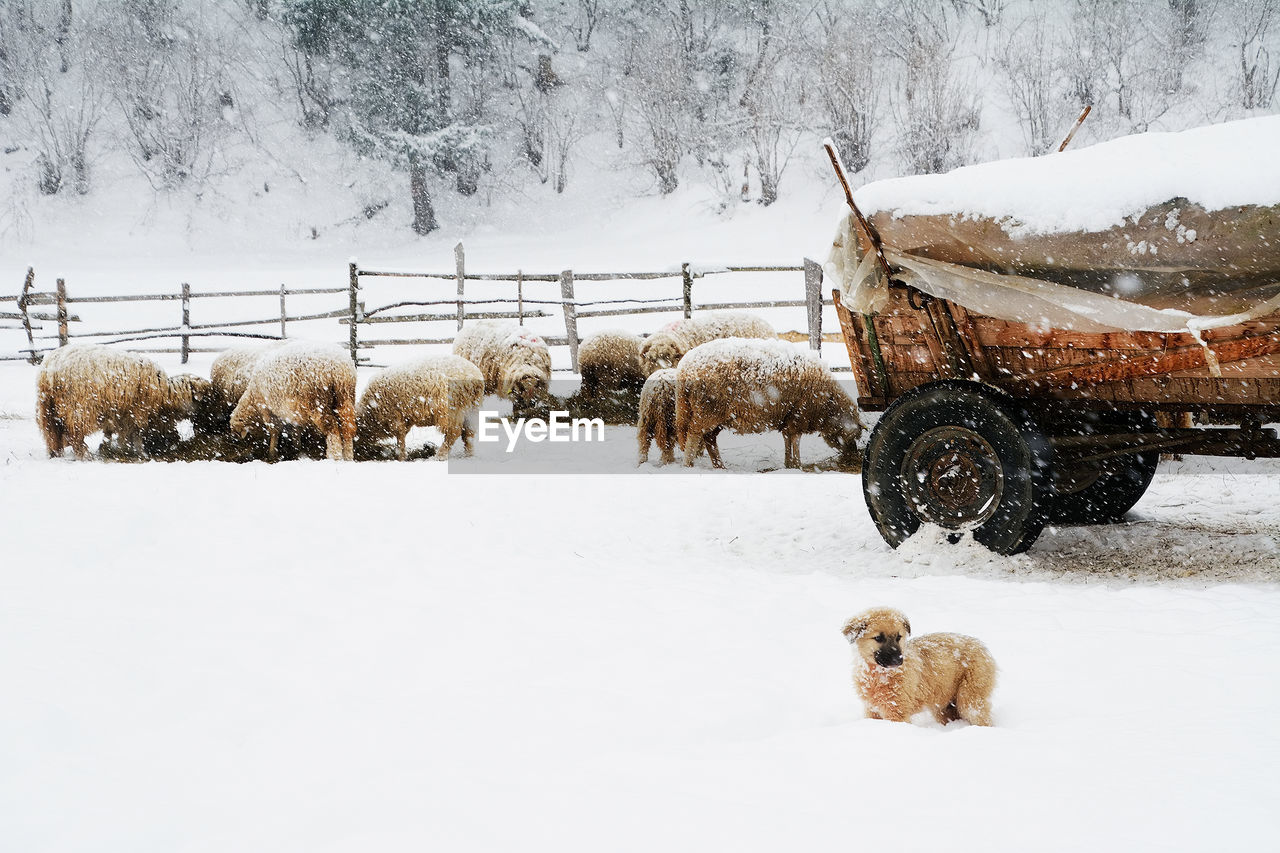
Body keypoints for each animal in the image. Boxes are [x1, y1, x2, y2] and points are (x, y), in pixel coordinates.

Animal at [33, 343, 215, 458]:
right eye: (204, 399)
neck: (164, 395)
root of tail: (48, 371)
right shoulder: (138, 411)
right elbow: (136, 434)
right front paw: (140, 453)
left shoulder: (119, 413)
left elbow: (114, 433)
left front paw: (113, 448)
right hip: (78, 408)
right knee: (75, 434)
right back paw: (84, 455)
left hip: (48, 409)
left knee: (52, 434)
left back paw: (56, 453)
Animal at [355, 350, 483, 458]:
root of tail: (475, 378)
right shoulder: (405, 418)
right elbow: (402, 436)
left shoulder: (395, 417)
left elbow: (400, 438)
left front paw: (401, 456)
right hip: (472, 408)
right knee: (469, 433)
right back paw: (469, 455)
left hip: (452, 409)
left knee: (453, 433)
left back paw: (439, 456)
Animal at [675, 338, 865, 468]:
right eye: (853, 436)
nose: (853, 456)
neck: (828, 404)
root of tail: (684, 366)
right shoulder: (799, 415)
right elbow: (796, 441)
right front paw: (797, 464)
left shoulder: (789, 417)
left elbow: (787, 440)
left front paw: (789, 464)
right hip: (706, 410)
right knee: (694, 436)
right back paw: (689, 464)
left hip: (716, 414)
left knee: (709, 438)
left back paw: (719, 466)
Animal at [844, 604, 993, 722]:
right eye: (878, 638)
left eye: (898, 637)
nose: (898, 660)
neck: (878, 674)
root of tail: (982, 646)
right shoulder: (872, 710)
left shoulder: (897, 712)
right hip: (945, 706)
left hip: (970, 700)